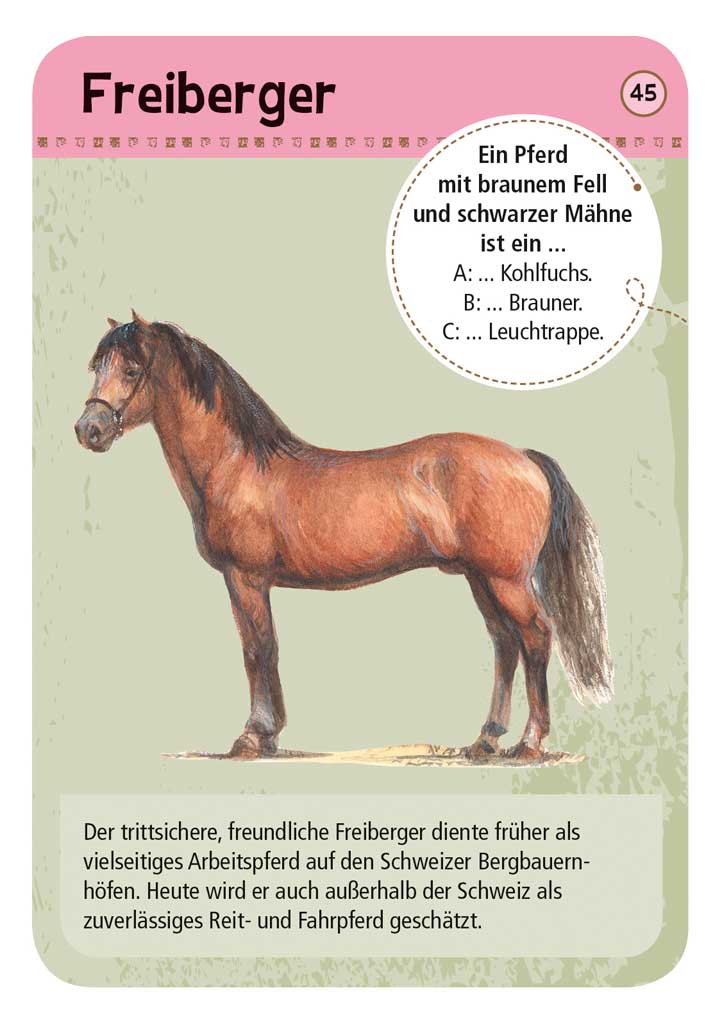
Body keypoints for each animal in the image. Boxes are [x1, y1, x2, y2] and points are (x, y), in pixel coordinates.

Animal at [74, 311, 613, 761]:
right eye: (97, 365)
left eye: (132, 369)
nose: (88, 429)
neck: (238, 464)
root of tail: (523, 457)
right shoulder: (241, 582)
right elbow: (259, 649)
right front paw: (267, 736)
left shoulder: (247, 578)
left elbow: (258, 650)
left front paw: (254, 736)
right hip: (478, 577)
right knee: (504, 643)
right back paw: (484, 740)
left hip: (506, 579)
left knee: (536, 637)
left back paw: (529, 743)